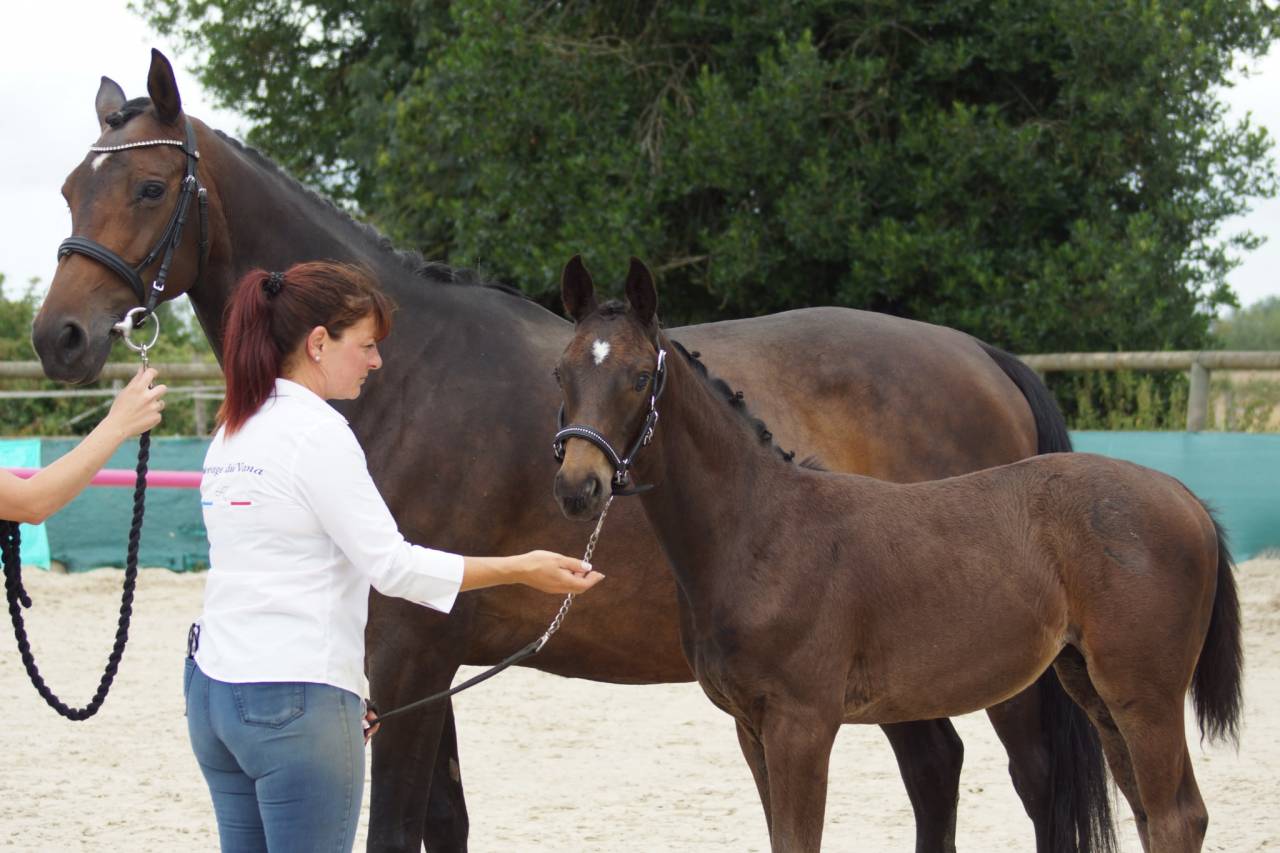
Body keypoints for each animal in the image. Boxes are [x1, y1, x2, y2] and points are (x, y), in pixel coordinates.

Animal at [33, 49, 1113, 853]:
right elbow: (444, 823)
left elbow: (397, 826)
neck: (403, 377)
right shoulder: (425, 657)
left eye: (149, 184)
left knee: (1027, 780)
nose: (59, 338)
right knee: (935, 771)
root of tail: (979, 356)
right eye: (69, 187)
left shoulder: (410, 655)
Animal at [551, 256, 1244, 853]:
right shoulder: (751, 727)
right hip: (1092, 685)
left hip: (1144, 693)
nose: (577, 487)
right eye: (561, 372)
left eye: (641, 377)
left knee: (1176, 815)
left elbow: (799, 841)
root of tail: (1184, 495)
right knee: (1150, 812)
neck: (759, 529)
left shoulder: (802, 724)